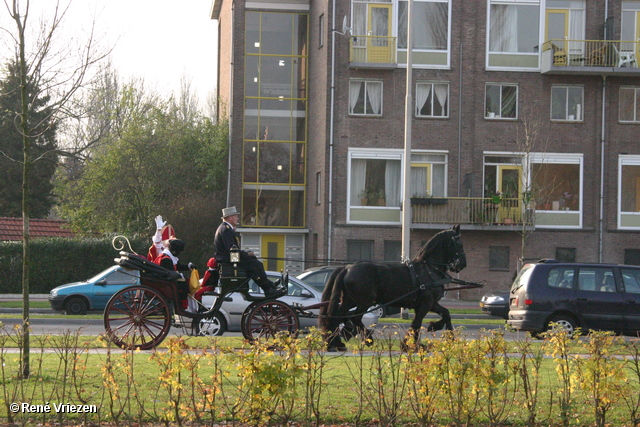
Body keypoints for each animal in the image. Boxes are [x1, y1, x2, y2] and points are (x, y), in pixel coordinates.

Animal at [318, 224, 464, 352]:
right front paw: (411, 345)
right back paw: (366, 339)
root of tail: (347, 268)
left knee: (338, 315)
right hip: (364, 301)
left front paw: (443, 334)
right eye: (459, 243)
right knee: (354, 317)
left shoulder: (431, 303)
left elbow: (445, 313)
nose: (462, 264)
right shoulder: (425, 304)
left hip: (349, 300)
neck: (428, 270)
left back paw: (335, 342)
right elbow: (416, 324)